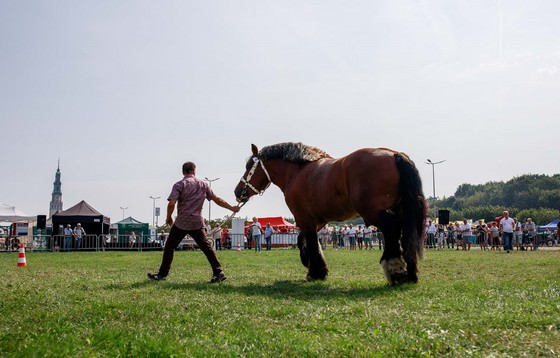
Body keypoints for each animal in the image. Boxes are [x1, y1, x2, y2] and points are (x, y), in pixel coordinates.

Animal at [234, 143, 426, 286]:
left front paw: (315, 272)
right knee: (405, 234)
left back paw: (395, 270)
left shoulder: (304, 218)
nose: (238, 191)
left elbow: (310, 242)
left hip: (373, 213)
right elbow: (304, 241)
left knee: (393, 230)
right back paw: (410, 273)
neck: (297, 172)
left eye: (249, 167)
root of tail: (395, 155)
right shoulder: (317, 221)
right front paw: (315, 266)